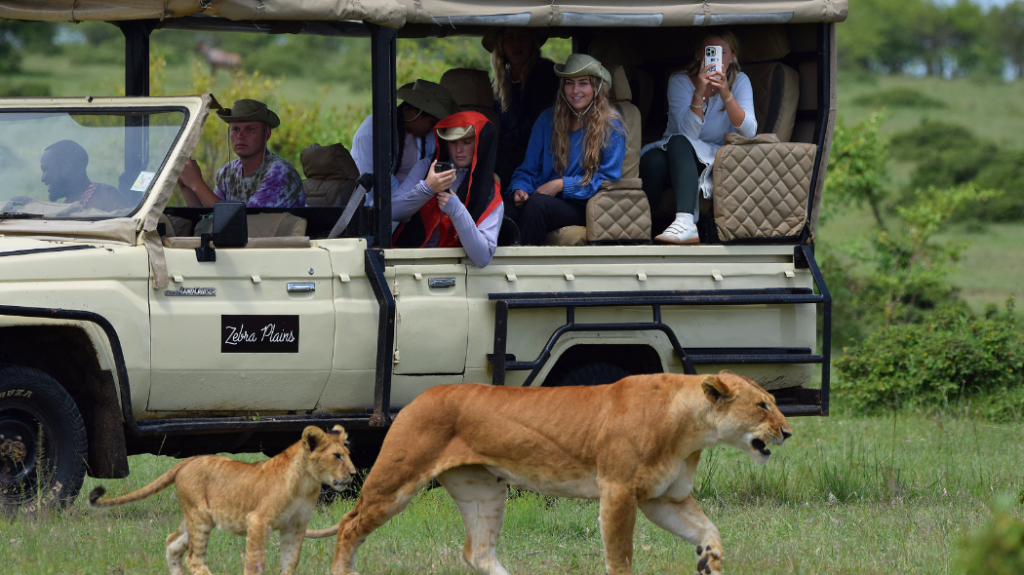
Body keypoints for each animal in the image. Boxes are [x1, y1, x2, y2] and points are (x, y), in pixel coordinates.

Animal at [89, 425, 356, 575]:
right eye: (337, 456)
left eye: (348, 454)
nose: (354, 474)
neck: (307, 483)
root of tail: (189, 460)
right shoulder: (258, 521)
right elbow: (255, 562)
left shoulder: (295, 527)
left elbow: (290, 563)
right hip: (200, 518)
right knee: (193, 558)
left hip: (193, 517)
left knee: (172, 543)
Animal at [307, 371, 792, 575]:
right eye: (763, 405)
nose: (788, 431)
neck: (691, 429)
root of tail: (417, 397)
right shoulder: (618, 491)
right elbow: (620, 557)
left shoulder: (663, 499)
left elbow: (708, 529)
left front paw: (709, 560)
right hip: (397, 478)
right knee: (349, 525)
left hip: (484, 491)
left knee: (477, 552)